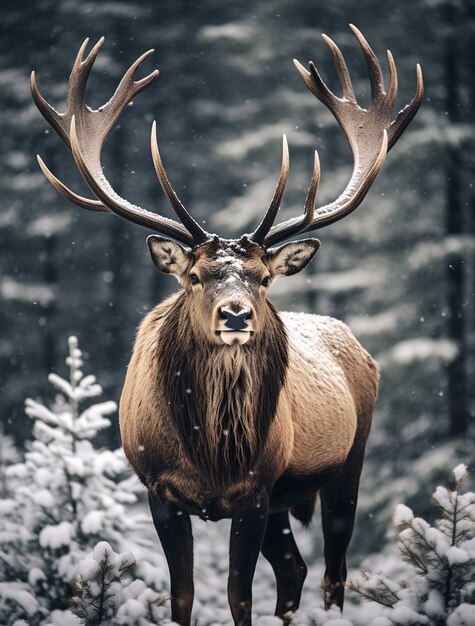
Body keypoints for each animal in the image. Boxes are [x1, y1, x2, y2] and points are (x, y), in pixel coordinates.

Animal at [31, 26, 422, 624]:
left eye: (262, 278)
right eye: (195, 275)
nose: (236, 313)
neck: (209, 456)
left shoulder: (255, 491)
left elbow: (239, 596)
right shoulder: (161, 492)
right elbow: (183, 596)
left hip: (347, 464)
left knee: (333, 570)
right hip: (286, 499)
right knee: (295, 568)